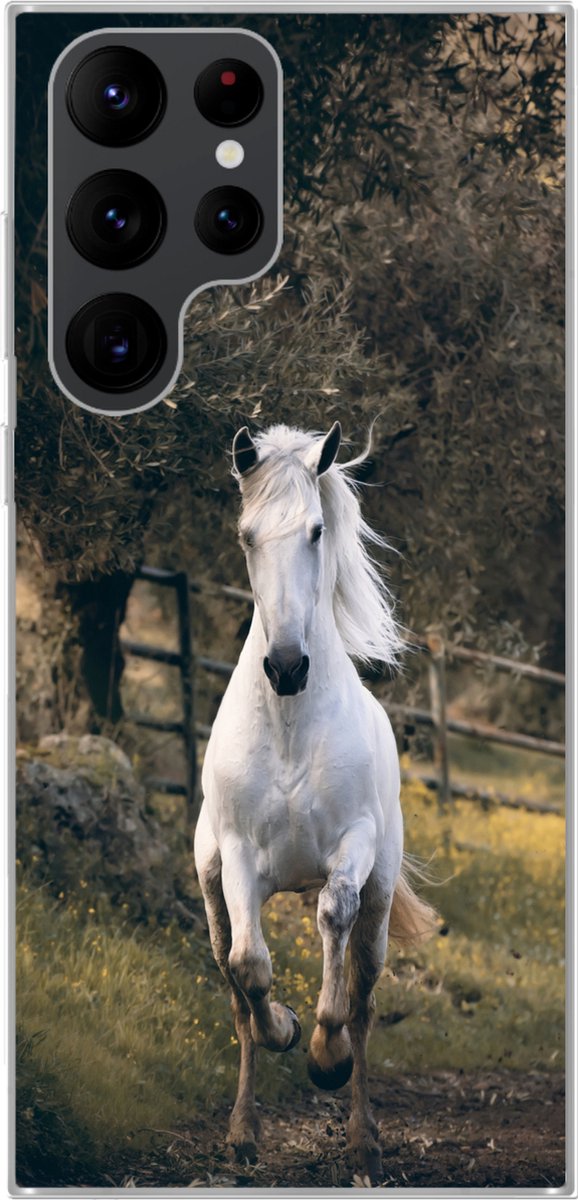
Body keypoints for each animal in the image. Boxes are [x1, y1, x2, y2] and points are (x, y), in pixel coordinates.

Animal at [194, 422, 436, 1182]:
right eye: (247, 536)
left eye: (316, 529)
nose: (286, 665)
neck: (291, 728)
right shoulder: (239, 858)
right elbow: (251, 969)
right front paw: (290, 1029)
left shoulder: (351, 849)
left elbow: (335, 921)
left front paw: (325, 1055)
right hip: (212, 889)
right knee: (236, 991)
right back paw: (242, 1133)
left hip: (381, 900)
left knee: (362, 992)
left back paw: (363, 1137)